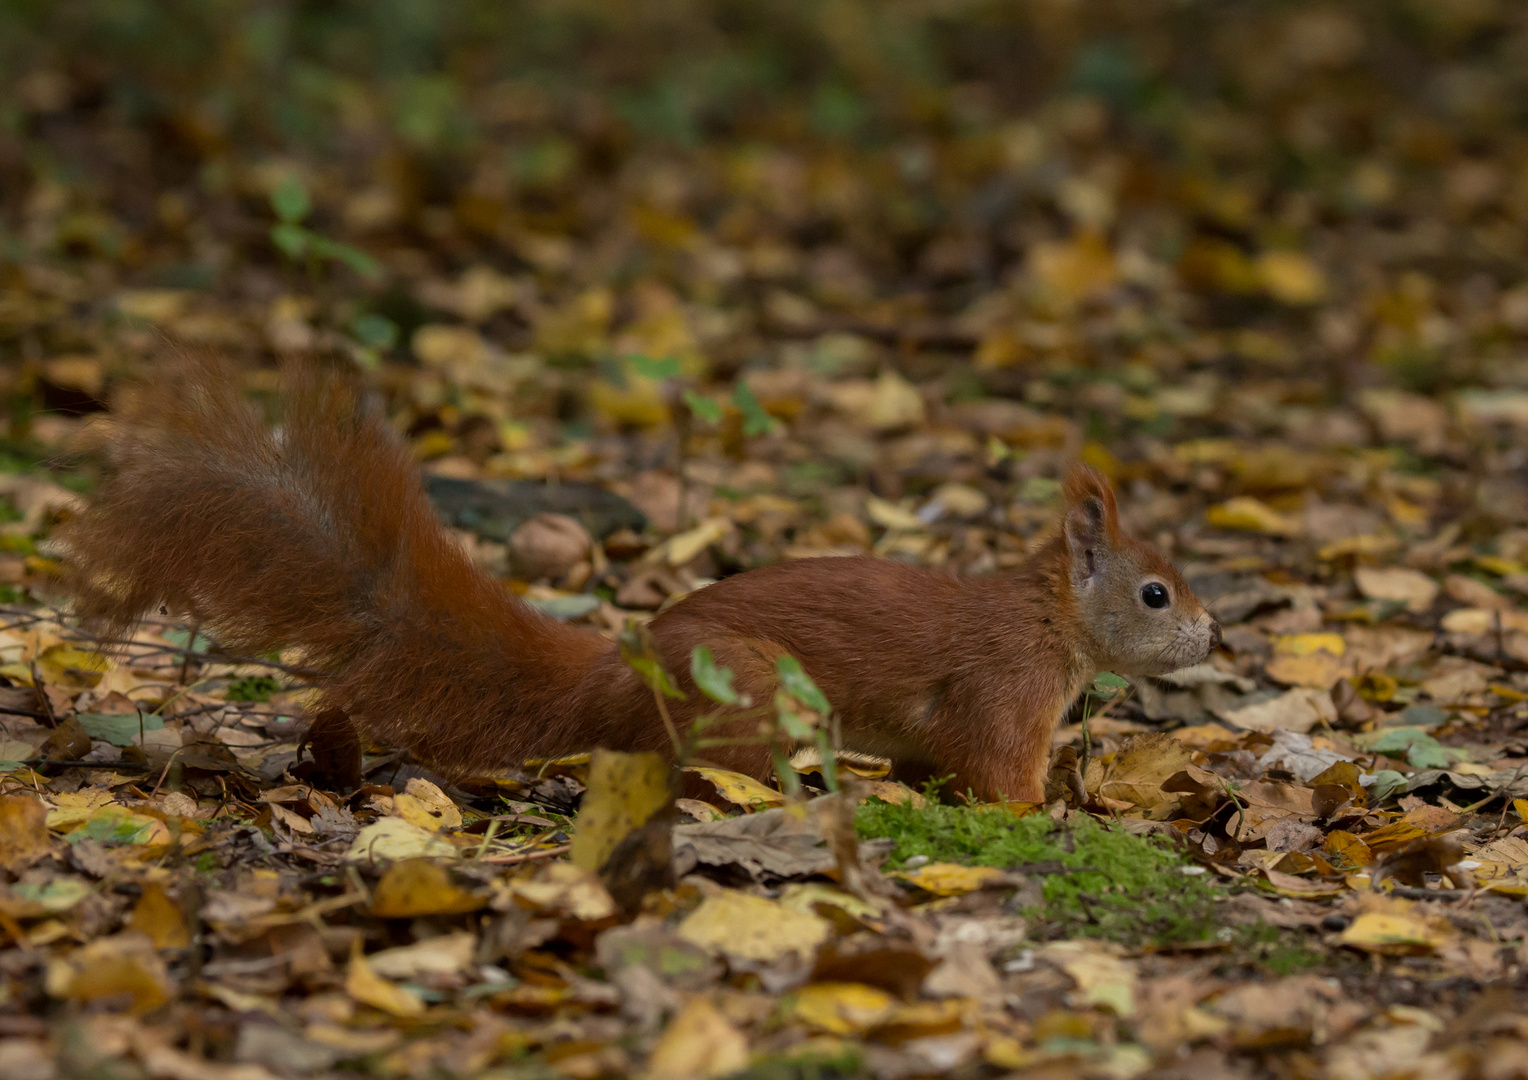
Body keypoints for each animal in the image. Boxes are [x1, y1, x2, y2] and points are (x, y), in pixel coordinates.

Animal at [65, 363, 1222, 800]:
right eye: (1155, 593)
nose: (1218, 637)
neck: (1049, 619)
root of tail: (609, 680)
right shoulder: (1002, 692)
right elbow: (995, 774)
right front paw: (1055, 816)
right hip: (750, 693)